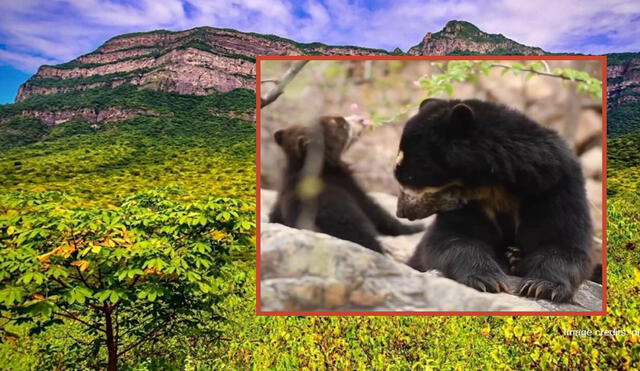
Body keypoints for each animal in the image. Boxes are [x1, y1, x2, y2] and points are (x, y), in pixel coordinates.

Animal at [396, 98, 596, 302]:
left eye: (408, 177)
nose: (401, 211)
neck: (494, 184)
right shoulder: (471, 205)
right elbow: (454, 238)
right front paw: (489, 280)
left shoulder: (555, 186)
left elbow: (562, 242)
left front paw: (541, 287)